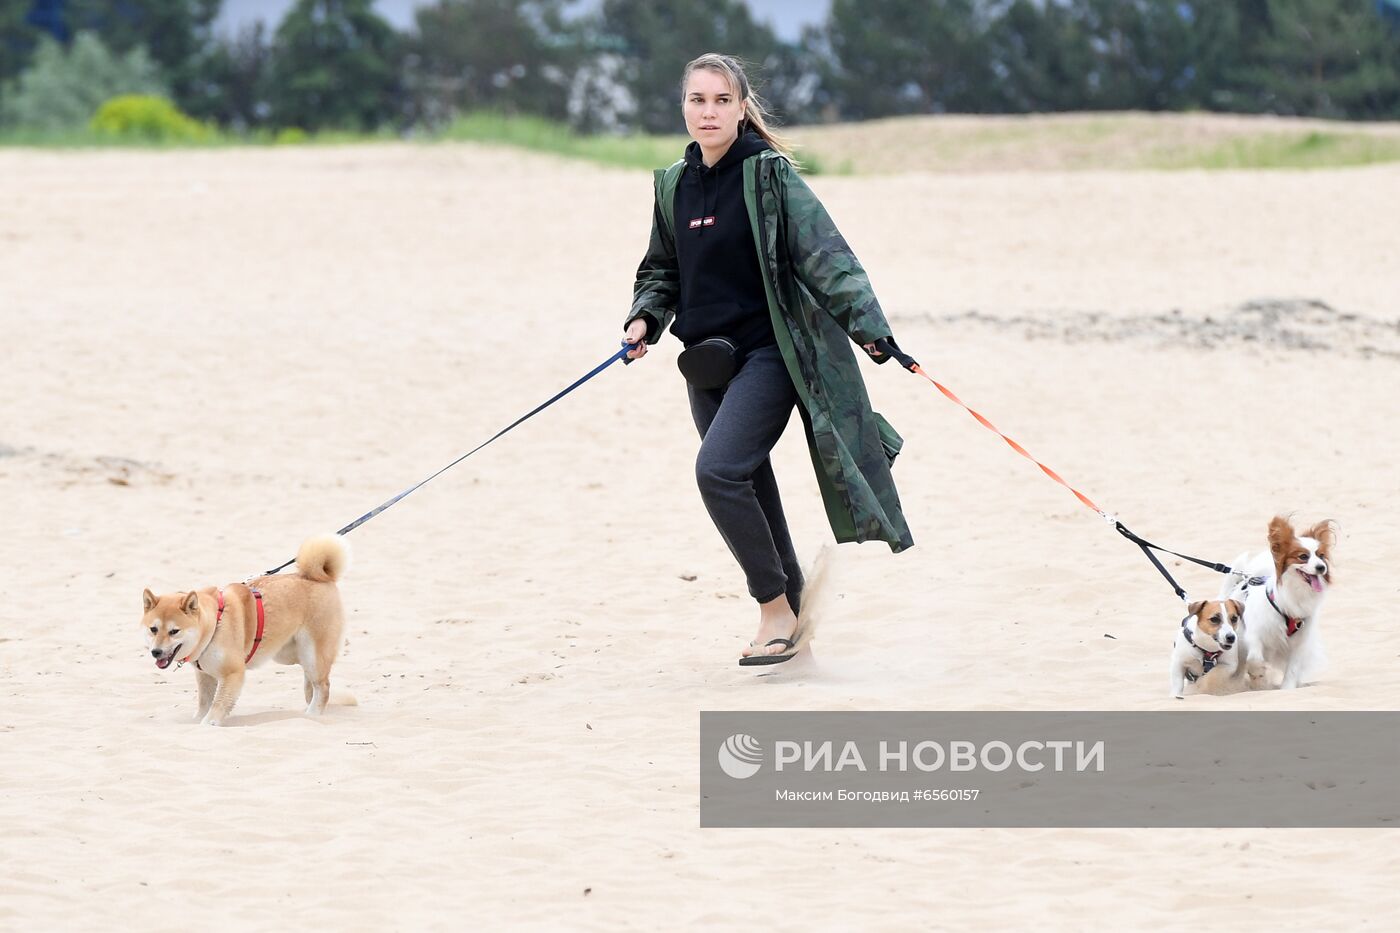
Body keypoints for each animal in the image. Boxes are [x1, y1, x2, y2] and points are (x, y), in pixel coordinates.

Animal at [137, 535, 350, 722]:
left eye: (174, 631)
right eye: (153, 629)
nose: (156, 652)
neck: (213, 627)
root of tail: (320, 577)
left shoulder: (233, 673)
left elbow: (216, 708)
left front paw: (208, 723)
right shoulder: (205, 675)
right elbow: (203, 704)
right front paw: (196, 722)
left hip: (313, 653)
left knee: (323, 686)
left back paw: (312, 715)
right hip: (288, 654)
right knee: (311, 682)